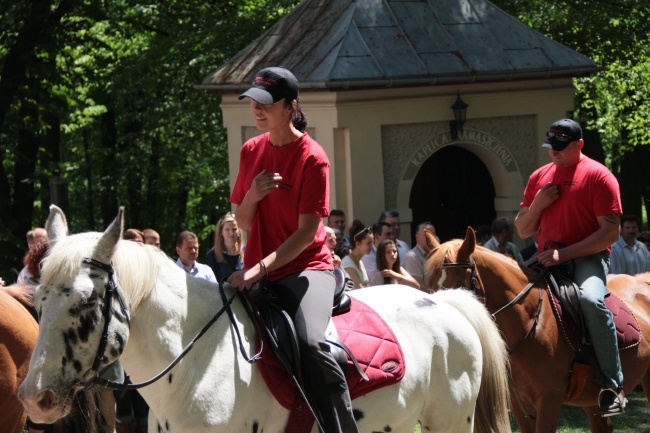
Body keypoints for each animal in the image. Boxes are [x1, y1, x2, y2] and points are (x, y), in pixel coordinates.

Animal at [17, 207, 508, 432]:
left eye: (85, 302)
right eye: (38, 303)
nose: (34, 399)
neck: (195, 366)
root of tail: (444, 303)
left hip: (450, 421)